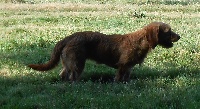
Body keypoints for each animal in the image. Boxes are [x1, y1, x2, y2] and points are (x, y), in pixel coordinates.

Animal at [27, 21, 180, 82]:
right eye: (168, 31)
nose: (179, 36)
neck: (140, 41)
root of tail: (67, 38)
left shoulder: (129, 67)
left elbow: (127, 78)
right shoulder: (123, 65)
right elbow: (119, 78)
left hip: (69, 63)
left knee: (63, 75)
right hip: (78, 63)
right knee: (73, 77)